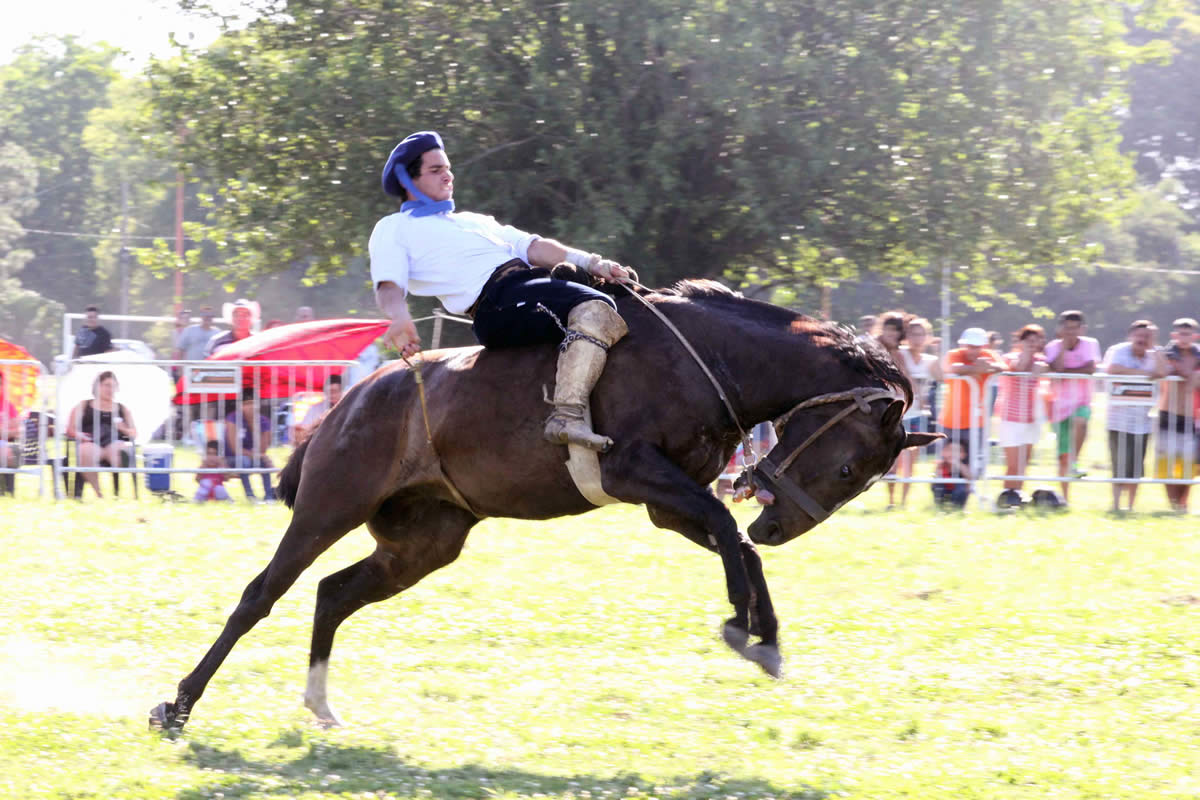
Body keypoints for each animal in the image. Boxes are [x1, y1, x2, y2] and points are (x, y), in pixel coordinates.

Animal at [147, 281, 936, 734]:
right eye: (847, 468)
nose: (778, 525)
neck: (709, 357)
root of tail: (355, 397)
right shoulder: (635, 471)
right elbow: (723, 526)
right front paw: (746, 629)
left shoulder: (666, 497)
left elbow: (729, 541)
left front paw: (763, 636)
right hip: (326, 509)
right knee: (261, 594)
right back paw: (177, 706)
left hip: (425, 541)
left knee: (333, 593)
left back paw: (320, 705)